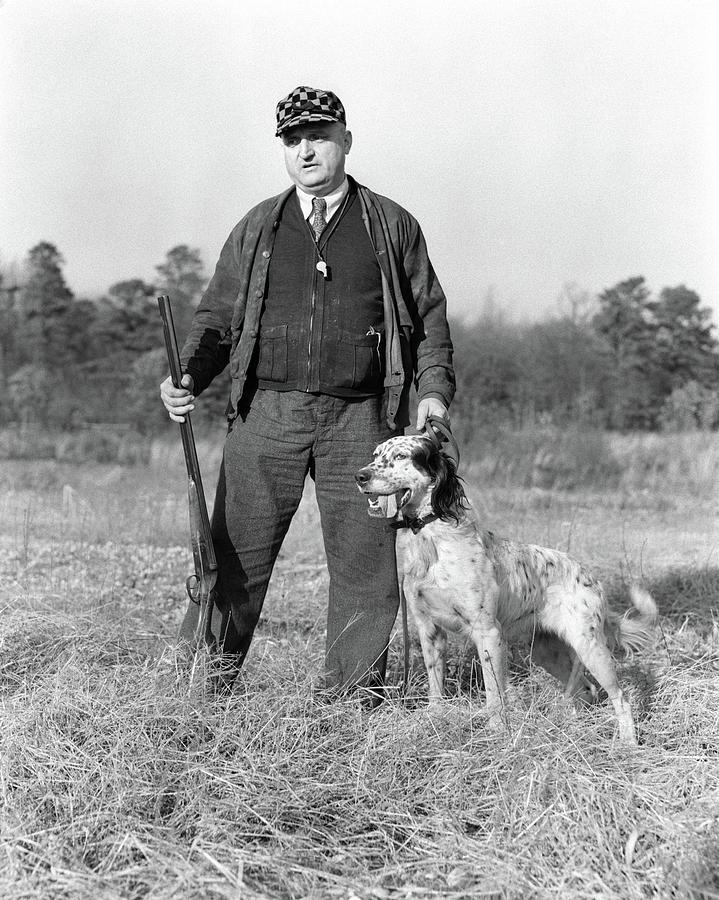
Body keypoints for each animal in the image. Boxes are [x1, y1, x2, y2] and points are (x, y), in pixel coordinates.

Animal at [354, 432, 660, 740]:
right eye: (376, 454)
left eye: (401, 456)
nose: (360, 476)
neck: (431, 544)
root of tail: (591, 578)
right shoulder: (429, 630)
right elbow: (436, 686)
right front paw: (435, 719)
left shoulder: (487, 632)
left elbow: (494, 693)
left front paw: (496, 732)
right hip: (546, 651)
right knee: (586, 690)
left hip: (589, 646)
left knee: (620, 697)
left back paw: (627, 742)